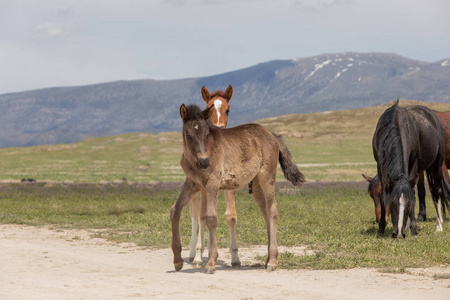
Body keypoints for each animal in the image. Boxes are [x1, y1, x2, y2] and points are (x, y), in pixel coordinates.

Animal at [171, 103, 304, 274]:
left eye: (207, 134)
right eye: (188, 134)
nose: (204, 161)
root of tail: (273, 136)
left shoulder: (212, 183)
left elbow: (211, 217)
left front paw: (211, 263)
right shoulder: (192, 183)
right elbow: (175, 210)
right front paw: (177, 261)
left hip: (267, 176)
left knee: (272, 210)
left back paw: (273, 261)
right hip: (256, 184)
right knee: (265, 212)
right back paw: (267, 259)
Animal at [186, 84, 241, 268]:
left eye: (228, 110)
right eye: (208, 109)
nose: (219, 129)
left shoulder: (230, 185)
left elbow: (230, 216)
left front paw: (235, 257)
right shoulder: (204, 187)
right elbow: (202, 217)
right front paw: (198, 256)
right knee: (195, 213)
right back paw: (192, 253)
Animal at [372, 102, 450, 238]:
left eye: (409, 205)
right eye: (392, 203)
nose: (398, 234)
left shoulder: (413, 166)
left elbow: (413, 193)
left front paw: (413, 228)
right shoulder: (381, 167)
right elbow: (383, 196)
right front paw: (381, 228)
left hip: (437, 165)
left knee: (437, 192)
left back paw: (439, 225)